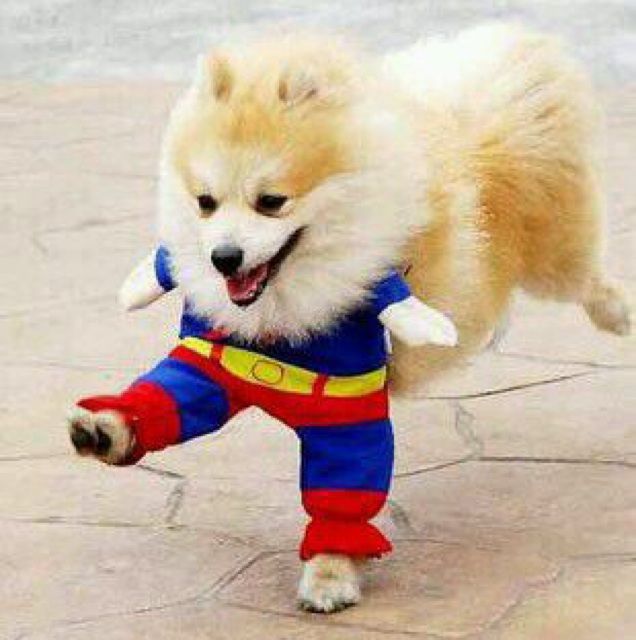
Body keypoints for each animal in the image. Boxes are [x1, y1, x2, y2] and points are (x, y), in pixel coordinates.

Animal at [68, 24, 630, 613]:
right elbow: (164, 395)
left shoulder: (344, 405)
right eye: (205, 202)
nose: (223, 257)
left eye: (271, 201)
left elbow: (342, 493)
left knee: (586, 277)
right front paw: (106, 429)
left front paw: (330, 575)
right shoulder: (217, 362)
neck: (283, 313)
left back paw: (618, 313)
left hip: (554, 259)